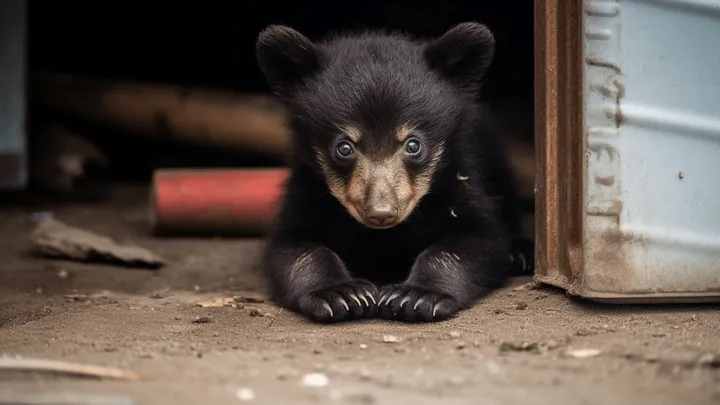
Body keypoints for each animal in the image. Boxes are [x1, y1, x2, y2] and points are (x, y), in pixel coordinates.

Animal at [255, 22, 532, 323]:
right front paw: (341, 294)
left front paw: (417, 296)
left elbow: (476, 241)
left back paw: (521, 253)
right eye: (344, 147)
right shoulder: (306, 189)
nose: (381, 212)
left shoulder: (460, 178)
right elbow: (294, 248)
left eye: (413, 144)